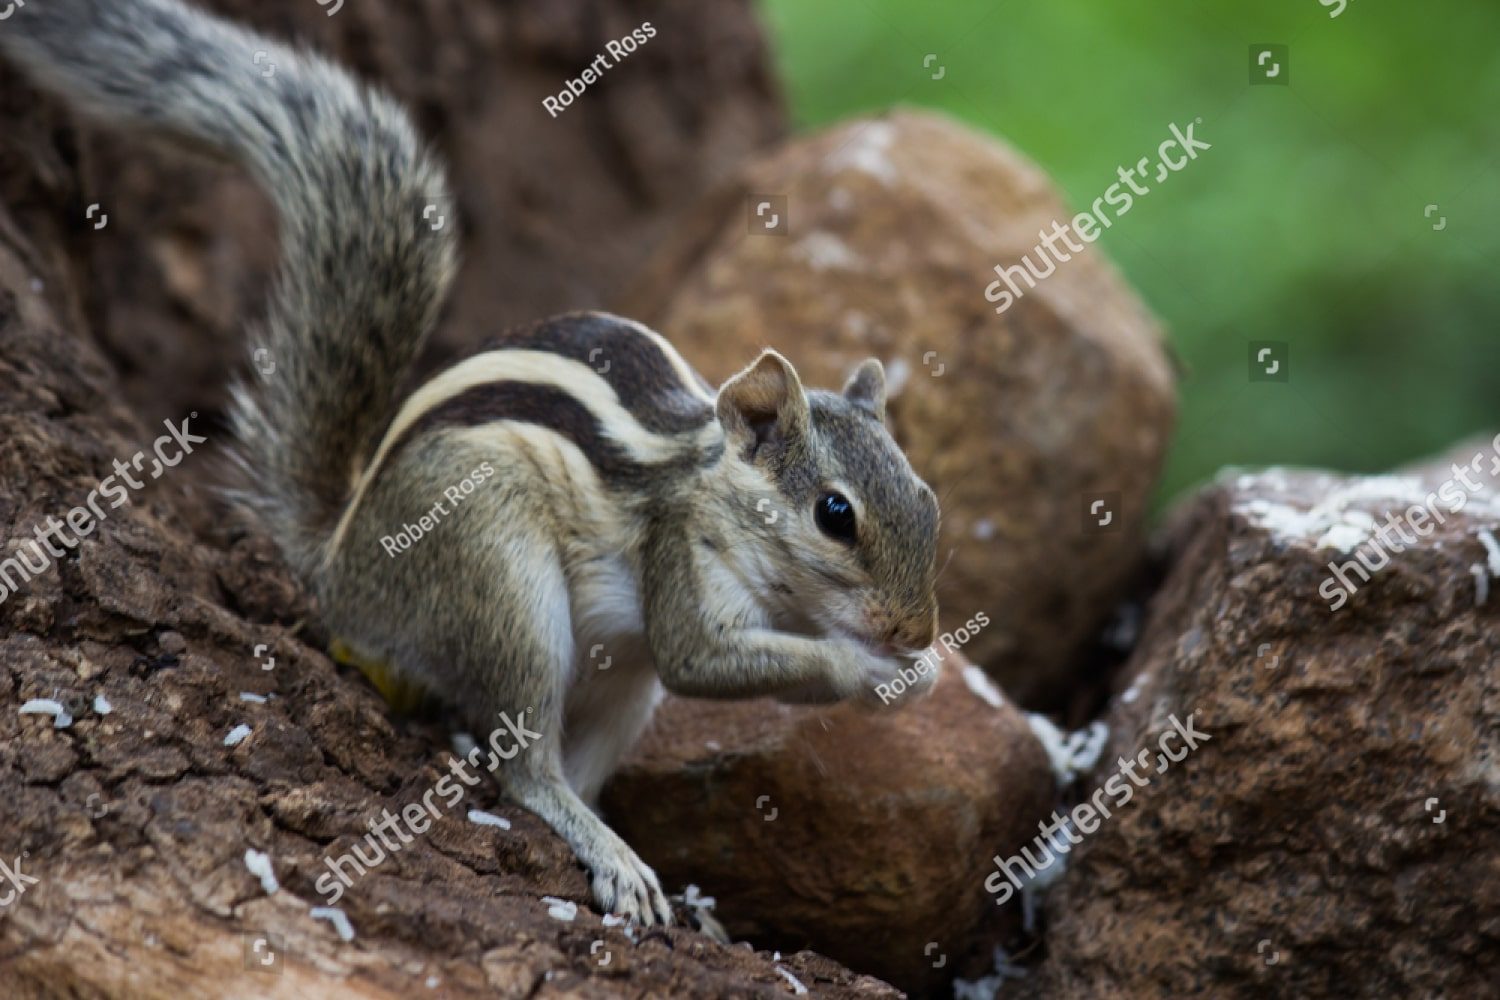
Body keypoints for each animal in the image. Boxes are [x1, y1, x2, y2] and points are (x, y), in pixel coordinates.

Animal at [1, 0, 941, 926]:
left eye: (929, 503)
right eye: (835, 514)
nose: (917, 632)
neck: (713, 485)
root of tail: (342, 561)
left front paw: (916, 672)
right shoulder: (680, 561)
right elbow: (706, 660)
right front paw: (869, 670)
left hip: (617, 684)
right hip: (501, 581)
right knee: (526, 770)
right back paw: (610, 855)